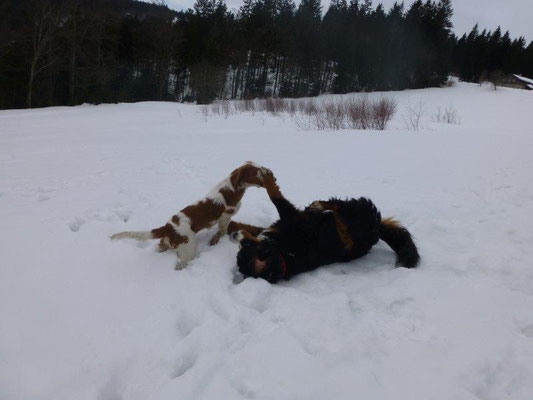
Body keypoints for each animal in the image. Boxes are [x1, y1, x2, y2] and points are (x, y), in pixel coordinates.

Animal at [110, 162, 272, 268]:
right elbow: (222, 231)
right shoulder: (226, 217)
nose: (269, 171)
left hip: (166, 244)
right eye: (258, 171)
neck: (231, 188)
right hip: (188, 249)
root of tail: (167, 227)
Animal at [229, 173, 420, 282]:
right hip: (356, 216)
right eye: (241, 250)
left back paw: (317, 205)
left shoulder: (290, 219)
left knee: (335, 205)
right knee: (338, 205)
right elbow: (274, 198)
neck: (284, 252)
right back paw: (319, 205)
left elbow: (272, 199)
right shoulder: (294, 219)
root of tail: (377, 229)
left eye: (245, 247)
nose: (233, 237)